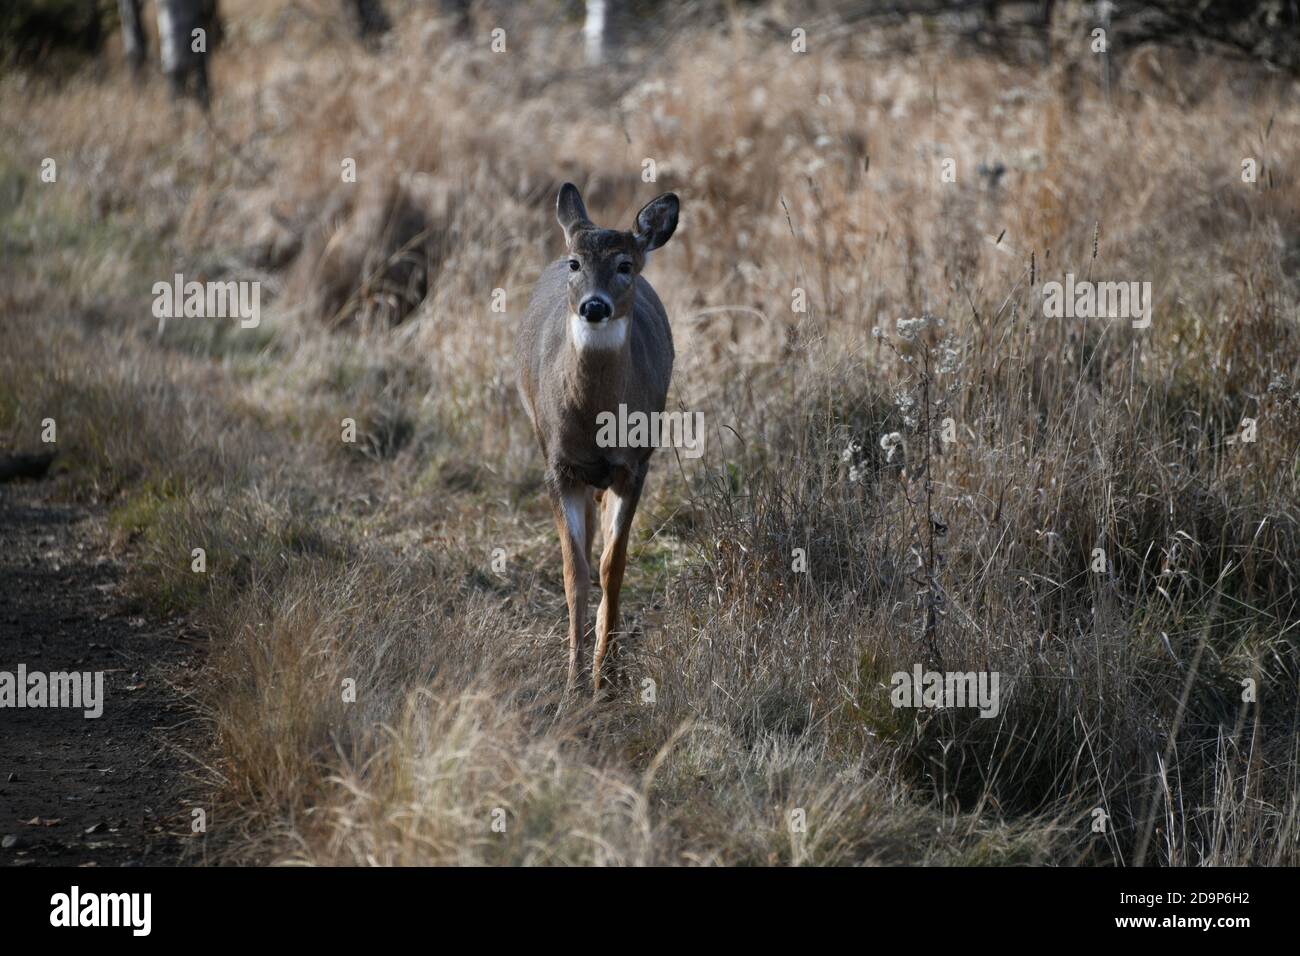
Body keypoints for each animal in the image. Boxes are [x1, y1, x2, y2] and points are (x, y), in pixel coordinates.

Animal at [514, 183, 681, 697]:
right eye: (576, 263)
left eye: (624, 265)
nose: (594, 305)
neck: (595, 420)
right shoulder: (558, 466)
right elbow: (575, 570)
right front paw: (573, 679)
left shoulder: (635, 465)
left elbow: (614, 565)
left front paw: (604, 675)